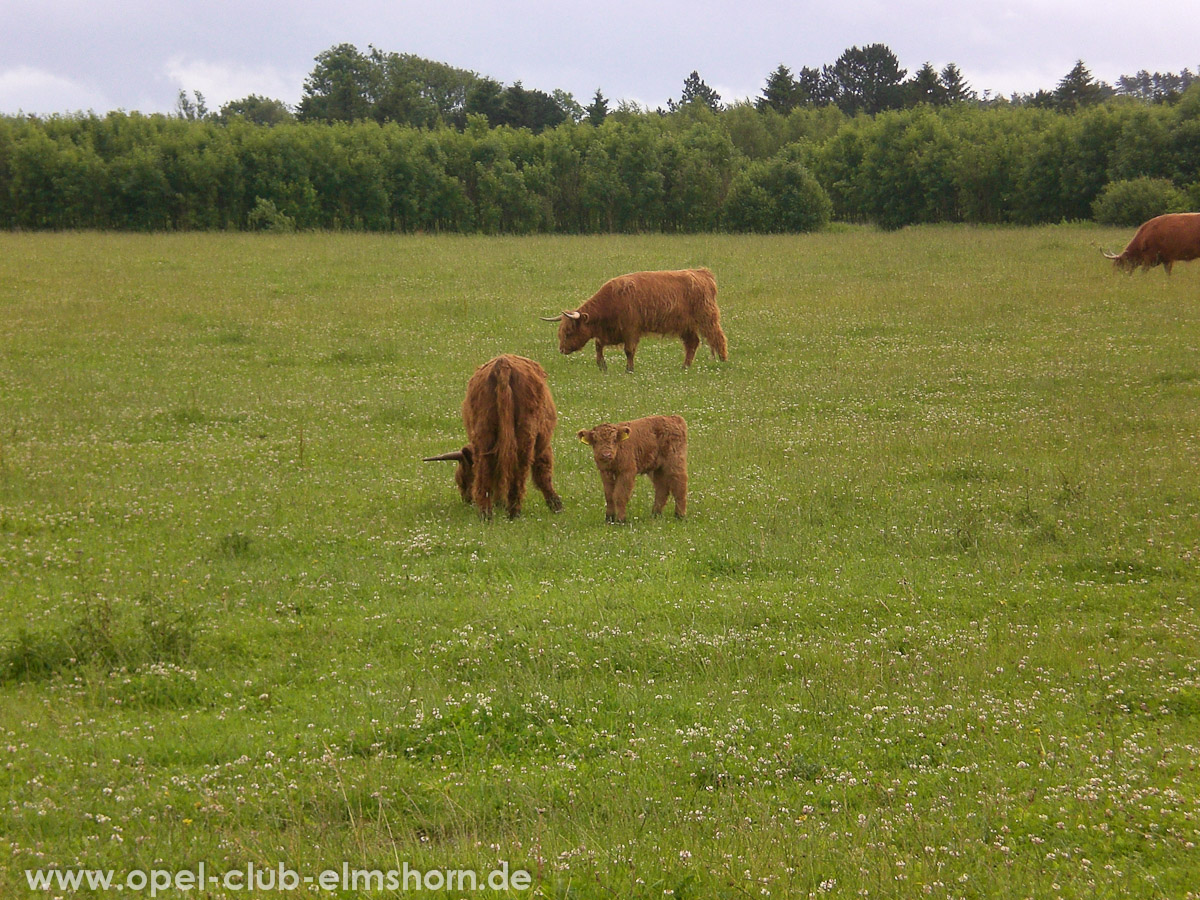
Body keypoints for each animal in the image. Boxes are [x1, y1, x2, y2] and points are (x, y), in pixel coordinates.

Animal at [424, 355, 564, 520]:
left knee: (485, 471)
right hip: (526, 435)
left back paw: (486, 514)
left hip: (485, 433)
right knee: (519, 470)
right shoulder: (543, 443)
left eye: (463, 478)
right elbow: (543, 474)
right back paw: (513, 512)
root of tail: (502, 364)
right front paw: (556, 506)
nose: (466, 500)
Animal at [547, 267, 729, 374]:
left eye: (569, 332)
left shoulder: (631, 330)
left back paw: (723, 360)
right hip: (686, 326)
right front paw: (602, 365)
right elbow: (598, 345)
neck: (611, 302)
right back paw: (685, 367)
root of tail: (701, 272)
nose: (561, 349)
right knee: (692, 343)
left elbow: (629, 350)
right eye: (561, 332)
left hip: (707, 318)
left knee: (717, 337)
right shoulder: (612, 332)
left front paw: (629, 369)